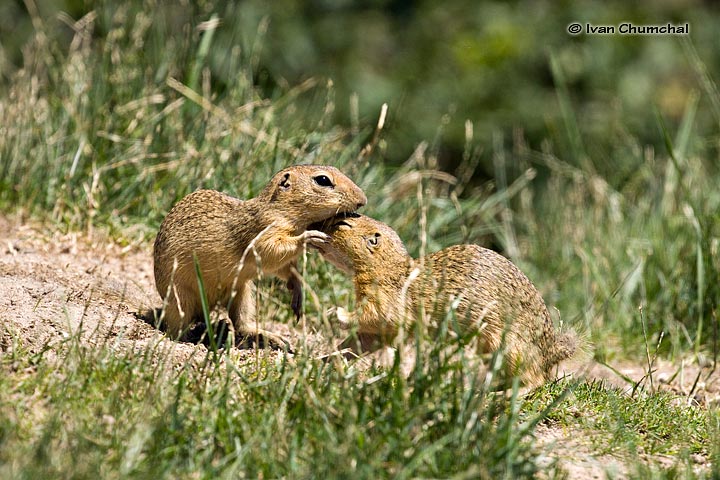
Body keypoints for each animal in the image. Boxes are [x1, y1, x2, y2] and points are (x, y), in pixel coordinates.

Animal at [152, 165, 366, 348]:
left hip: (242, 293)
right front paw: (309, 238)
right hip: (180, 297)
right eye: (323, 180)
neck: (280, 210)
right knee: (175, 328)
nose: (363, 200)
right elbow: (272, 250)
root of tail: (208, 306)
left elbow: (287, 267)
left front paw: (298, 291)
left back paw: (271, 337)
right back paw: (190, 338)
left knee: (241, 324)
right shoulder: (264, 232)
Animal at [316, 214, 580, 386]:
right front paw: (325, 358)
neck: (392, 269)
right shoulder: (381, 331)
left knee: (534, 381)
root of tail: (551, 353)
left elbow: (373, 317)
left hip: (510, 348)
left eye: (344, 224)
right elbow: (360, 342)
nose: (315, 227)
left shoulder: (386, 303)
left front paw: (336, 313)